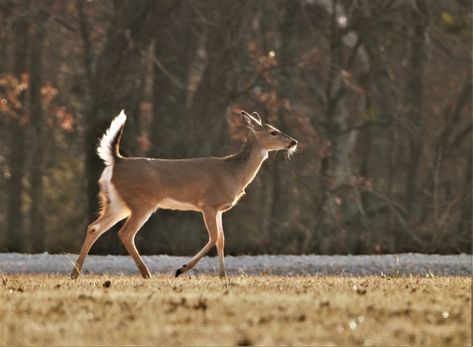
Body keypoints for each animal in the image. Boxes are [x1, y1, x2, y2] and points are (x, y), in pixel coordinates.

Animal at [69, 110, 296, 282]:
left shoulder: (220, 209)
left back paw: (75, 273)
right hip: (142, 202)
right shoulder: (208, 204)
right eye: (273, 132)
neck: (234, 172)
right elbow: (214, 237)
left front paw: (223, 276)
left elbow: (222, 239)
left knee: (94, 227)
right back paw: (146, 274)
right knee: (125, 233)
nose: (293, 142)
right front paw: (181, 269)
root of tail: (116, 161)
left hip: (118, 203)